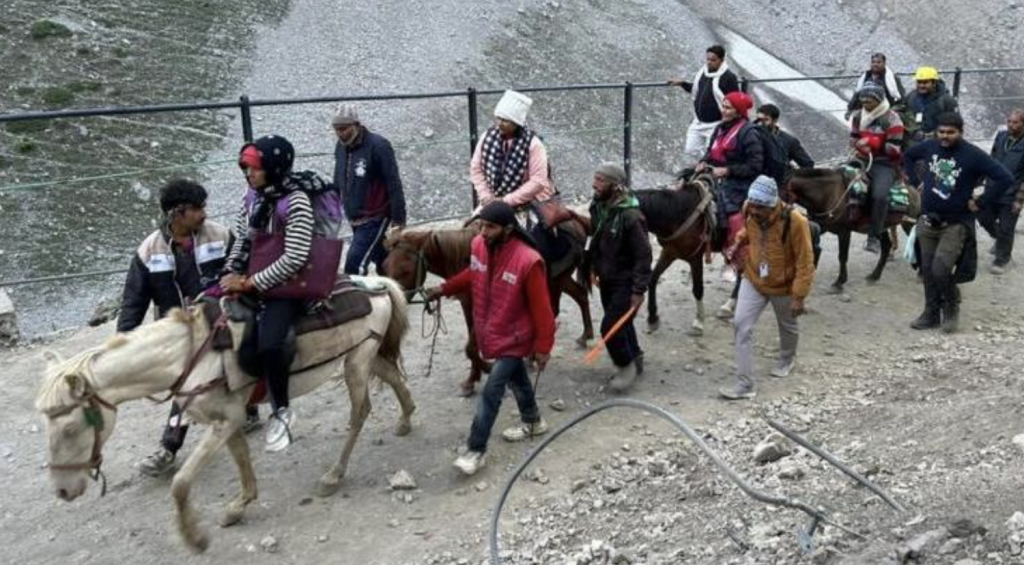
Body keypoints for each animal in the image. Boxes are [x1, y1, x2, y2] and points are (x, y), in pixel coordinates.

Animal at [35, 276, 415, 552]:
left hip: (356, 364)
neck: (191, 355)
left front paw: (195, 538)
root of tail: (378, 284)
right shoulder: (229, 419)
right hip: (364, 356)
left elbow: (181, 483)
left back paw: (334, 475)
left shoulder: (224, 421)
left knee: (360, 411)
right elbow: (242, 461)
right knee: (393, 376)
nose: (63, 491)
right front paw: (238, 507)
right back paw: (406, 419)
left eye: (69, 430)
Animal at [385, 218, 593, 395]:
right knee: (580, 296)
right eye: (386, 267)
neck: (464, 255)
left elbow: (470, 346)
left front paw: (487, 367)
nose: (395, 300)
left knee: (554, 310)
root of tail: (578, 223)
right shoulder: (468, 303)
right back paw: (583, 337)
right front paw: (472, 379)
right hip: (560, 280)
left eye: (405, 270)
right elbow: (472, 344)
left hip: (557, 280)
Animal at [634, 176, 716, 335]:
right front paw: (652, 318)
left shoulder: (695, 258)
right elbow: (653, 279)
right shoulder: (669, 252)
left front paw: (699, 321)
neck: (677, 214)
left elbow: (698, 288)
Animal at [782, 166, 921, 290]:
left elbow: (842, 256)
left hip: (908, 224)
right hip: (882, 227)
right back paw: (874, 275)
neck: (828, 194)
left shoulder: (844, 231)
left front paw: (839, 281)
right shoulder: (822, 226)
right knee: (887, 246)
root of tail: (914, 192)